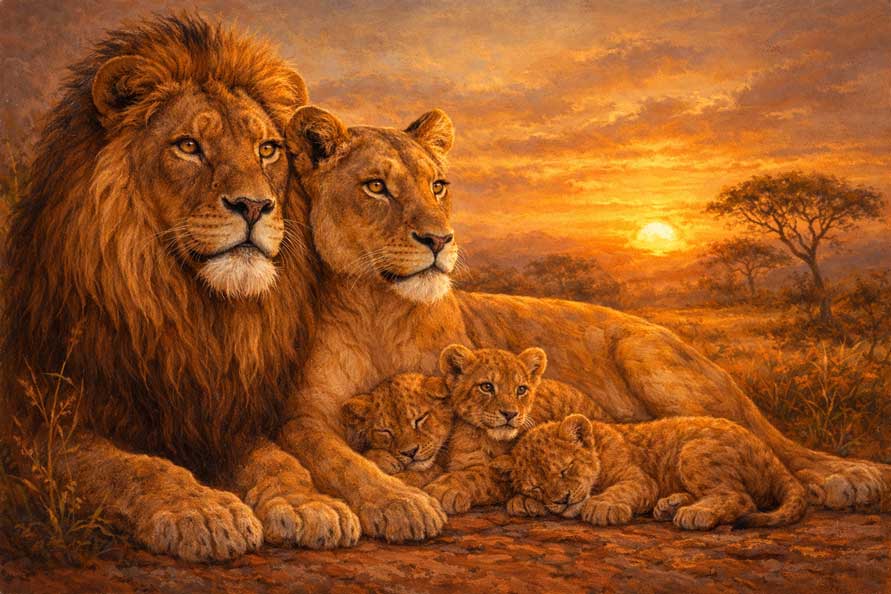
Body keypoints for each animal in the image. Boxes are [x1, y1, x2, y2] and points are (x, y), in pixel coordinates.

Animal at [0, 15, 359, 560]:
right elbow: (132, 467)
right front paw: (203, 512)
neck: (189, 310)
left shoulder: (217, 419)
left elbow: (278, 460)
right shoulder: (39, 429)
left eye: (267, 149)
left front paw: (309, 504)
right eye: (188, 146)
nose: (255, 206)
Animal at [492, 414, 808, 530]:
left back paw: (694, 513)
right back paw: (670, 506)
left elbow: (621, 489)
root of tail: (771, 455)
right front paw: (522, 502)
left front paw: (603, 507)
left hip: (693, 451)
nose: (562, 500)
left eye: (565, 469)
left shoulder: (640, 479)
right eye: (536, 486)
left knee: (741, 498)